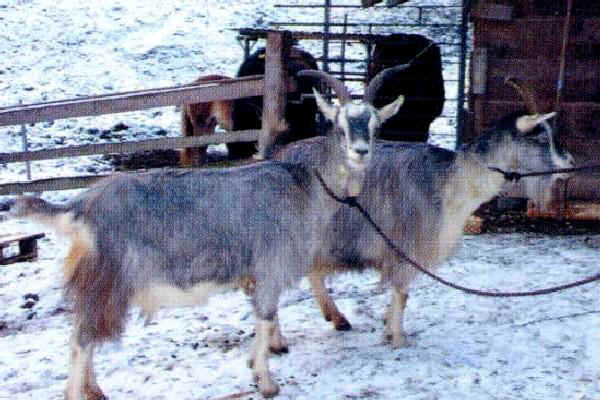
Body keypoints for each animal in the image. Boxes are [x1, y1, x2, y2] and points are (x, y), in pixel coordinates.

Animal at [2, 69, 406, 400]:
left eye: (375, 126)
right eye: (339, 125)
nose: (361, 152)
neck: (303, 185)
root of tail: (82, 206)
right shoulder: (270, 267)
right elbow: (264, 318)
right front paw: (266, 382)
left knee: (82, 337)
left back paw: (95, 390)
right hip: (106, 282)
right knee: (80, 341)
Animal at [276, 83, 572, 346]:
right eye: (542, 137)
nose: (569, 164)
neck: (452, 181)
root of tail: (279, 155)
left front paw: (388, 328)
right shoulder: (407, 247)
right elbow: (402, 293)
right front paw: (398, 339)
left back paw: (338, 319)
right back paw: (280, 341)